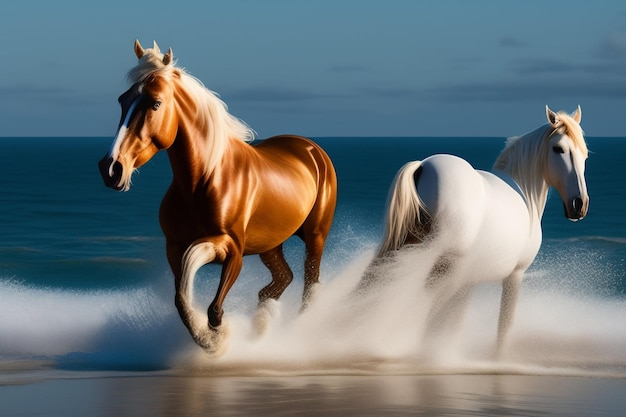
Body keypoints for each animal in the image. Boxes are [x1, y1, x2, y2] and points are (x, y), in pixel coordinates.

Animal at [100, 40, 336, 350]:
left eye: (155, 103)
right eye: (122, 100)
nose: (111, 168)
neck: (205, 179)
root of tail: (311, 148)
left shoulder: (230, 248)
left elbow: (211, 303)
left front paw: (215, 336)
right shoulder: (174, 248)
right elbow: (182, 297)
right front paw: (208, 336)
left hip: (315, 236)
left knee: (310, 284)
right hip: (271, 244)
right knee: (282, 279)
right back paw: (262, 325)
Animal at [364, 105, 588, 354]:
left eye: (585, 154)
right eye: (559, 149)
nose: (579, 204)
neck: (522, 191)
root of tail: (423, 166)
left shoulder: (467, 281)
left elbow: (455, 324)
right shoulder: (515, 275)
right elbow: (504, 327)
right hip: (439, 267)